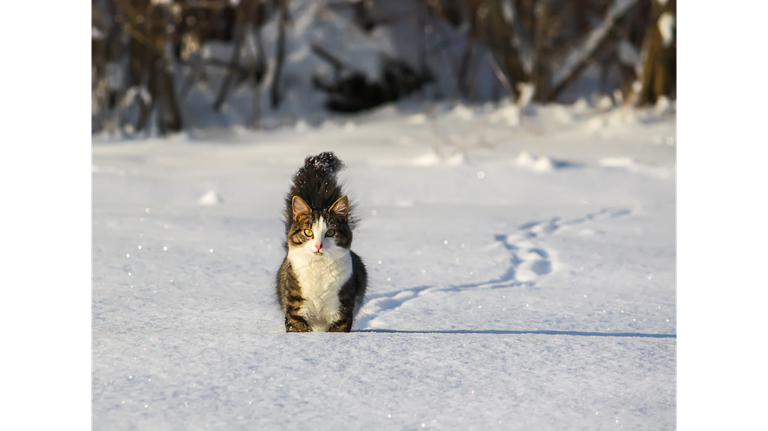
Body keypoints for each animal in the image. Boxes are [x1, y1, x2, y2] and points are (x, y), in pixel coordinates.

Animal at [276, 153, 368, 334]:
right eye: (308, 232)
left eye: (330, 232)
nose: (319, 245)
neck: (318, 269)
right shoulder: (295, 311)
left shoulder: (341, 311)